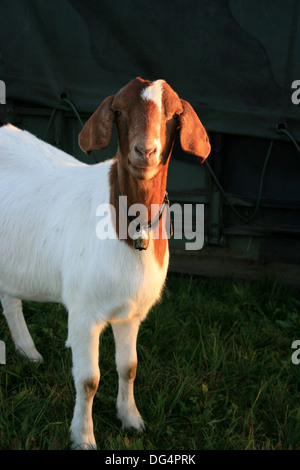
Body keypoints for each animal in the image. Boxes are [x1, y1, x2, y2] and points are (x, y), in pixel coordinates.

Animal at [0, 77, 211, 448]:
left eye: (174, 114)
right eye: (119, 111)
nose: (145, 151)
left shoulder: (131, 313)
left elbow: (129, 367)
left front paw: (131, 418)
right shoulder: (85, 314)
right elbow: (88, 380)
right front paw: (83, 436)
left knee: (9, 297)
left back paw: (29, 352)